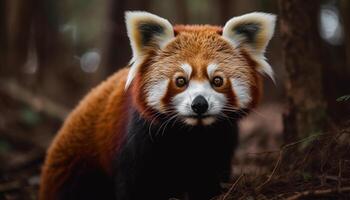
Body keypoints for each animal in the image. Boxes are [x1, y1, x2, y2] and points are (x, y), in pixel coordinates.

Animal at [39, 11, 276, 200]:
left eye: (217, 80)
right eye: (180, 81)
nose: (199, 104)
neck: (192, 134)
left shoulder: (220, 141)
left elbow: (209, 179)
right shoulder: (137, 141)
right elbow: (132, 186)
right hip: (77, 168)